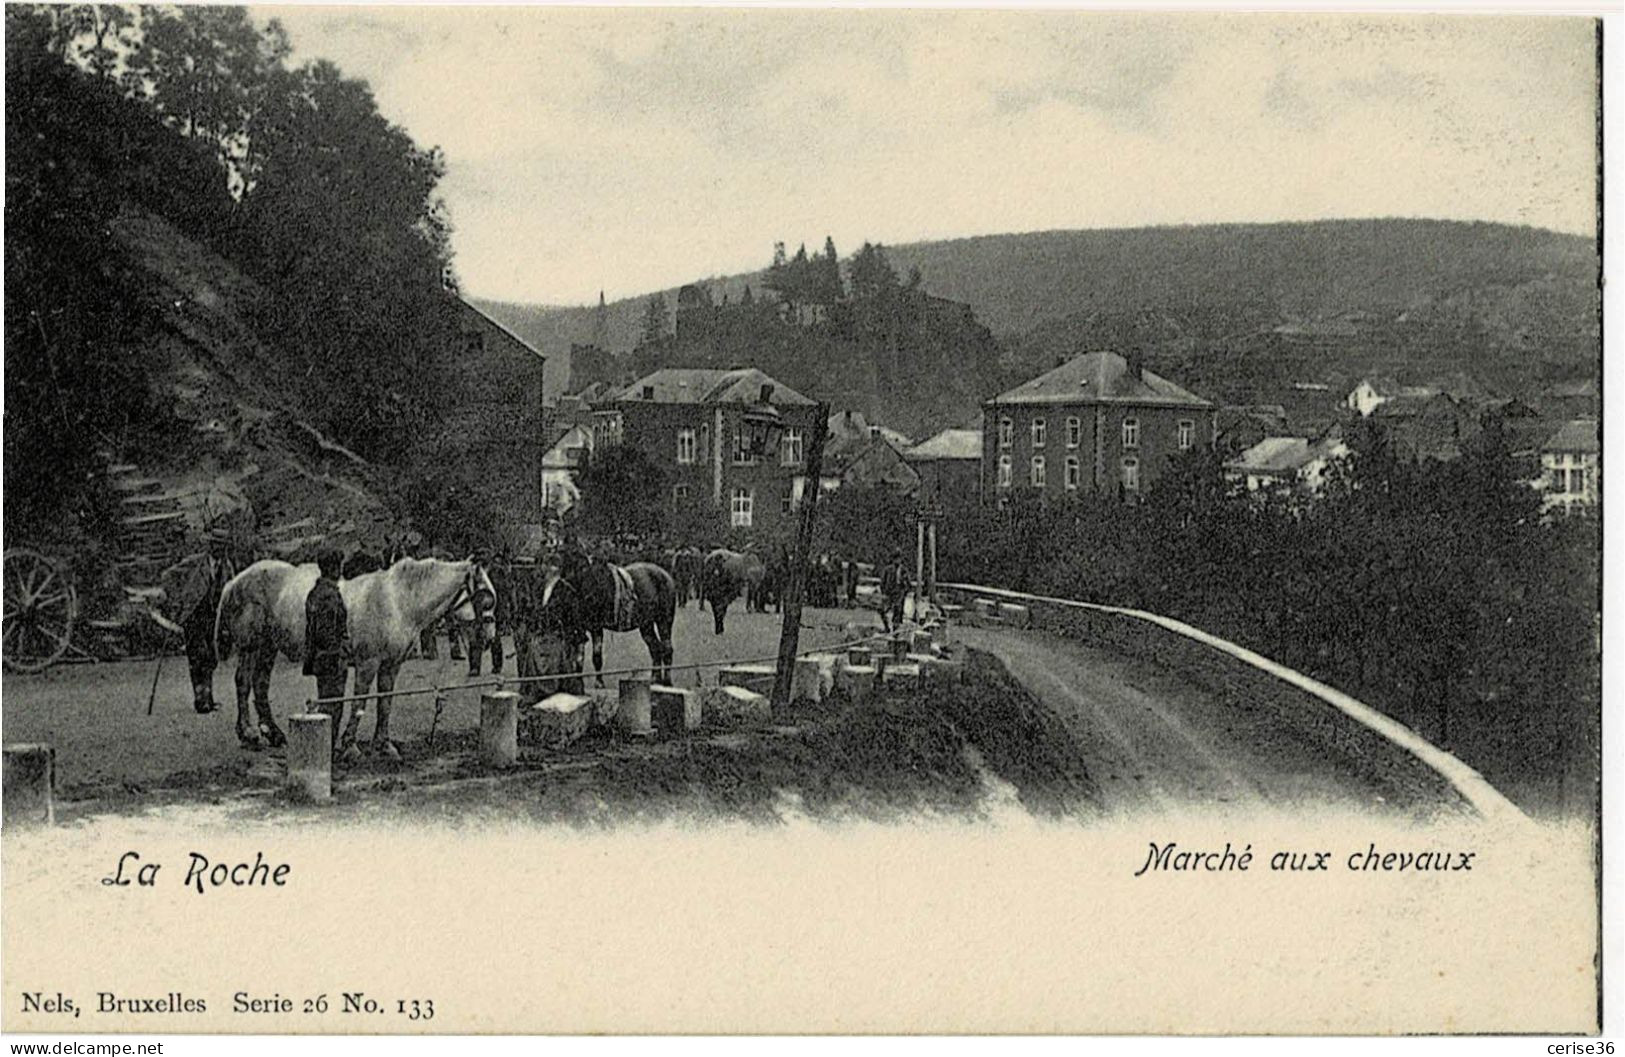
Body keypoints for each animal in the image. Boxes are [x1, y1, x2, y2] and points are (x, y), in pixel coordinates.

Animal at [209, 556, 490, 754]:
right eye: (484, 597)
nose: (487, 639)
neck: (397, 601)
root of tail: (234, 581)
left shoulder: (391, 665)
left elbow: (385, 702)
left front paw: (384, 745)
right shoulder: (368, 664)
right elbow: (359, 702)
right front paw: (350, 745)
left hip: (268, 647)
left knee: (260, 684)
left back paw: (274, 734)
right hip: (250, 647)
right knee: (243, 683)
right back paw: (248, 734)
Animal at [559, 546, 679, 686]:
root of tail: (666, 575)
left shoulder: (596, 628)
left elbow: (596, 656)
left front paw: (599, 682)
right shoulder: (579, 629)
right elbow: (578, 658)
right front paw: (578, 680)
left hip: (664, 621)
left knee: (667, 648)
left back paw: (667, 681)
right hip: (646, 625)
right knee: (656, 648)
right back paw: (655, 679)